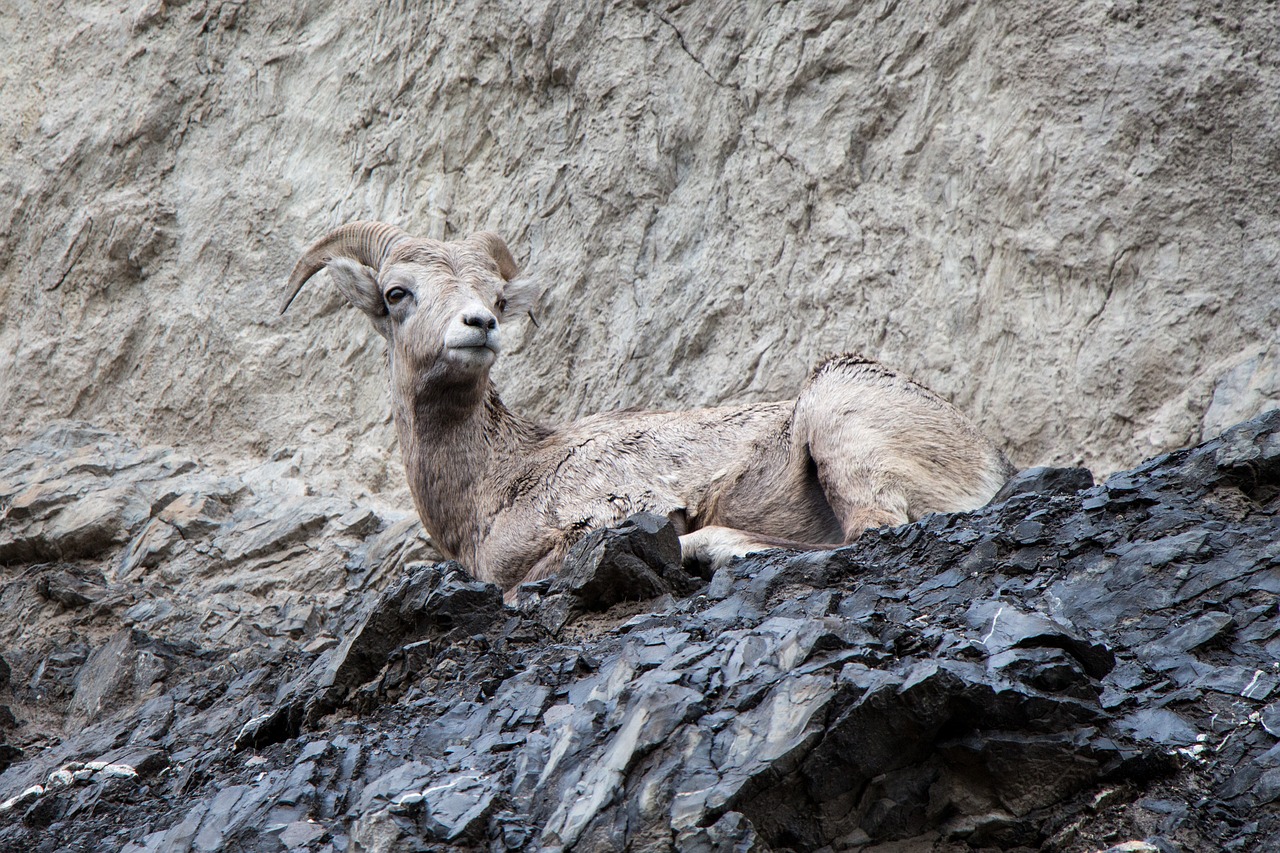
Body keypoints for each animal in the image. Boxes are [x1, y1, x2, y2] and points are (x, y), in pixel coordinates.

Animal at [285, 220, 1013, 591]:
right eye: (398, 293)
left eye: (495, 295)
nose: (478, 324)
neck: (493, 481)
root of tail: (988, 460)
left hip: (838, 414)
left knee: (869, 530)